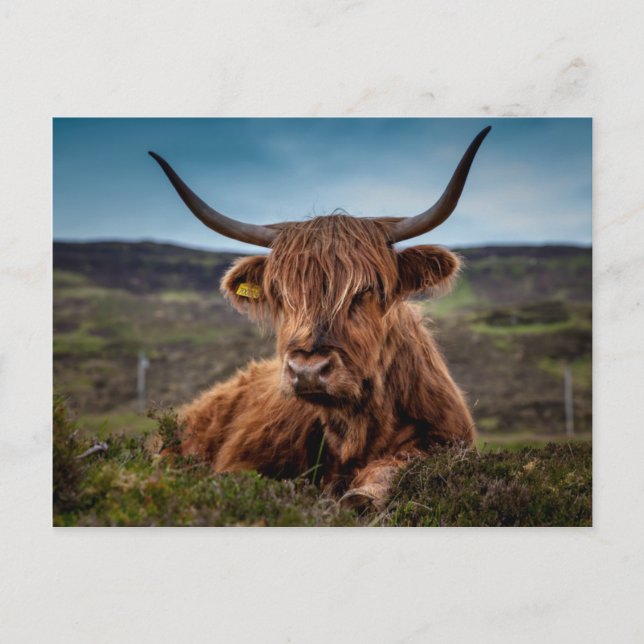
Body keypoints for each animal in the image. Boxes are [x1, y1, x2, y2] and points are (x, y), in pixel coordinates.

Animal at [149, 126, 490, 509]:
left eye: (366, 289)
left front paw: (362, 495)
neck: (356, 429)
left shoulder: (446, 440)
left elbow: (398, 464)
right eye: (281, 293)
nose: (308, 370)